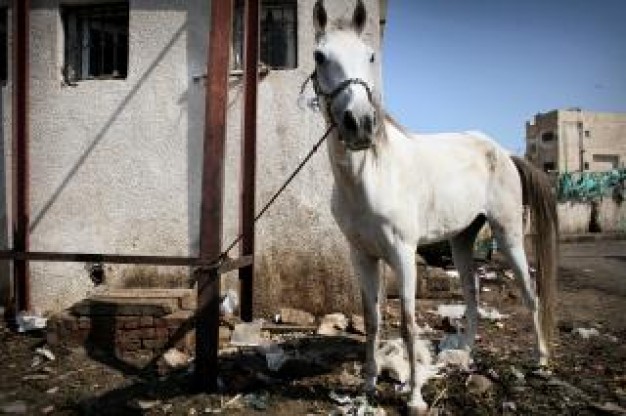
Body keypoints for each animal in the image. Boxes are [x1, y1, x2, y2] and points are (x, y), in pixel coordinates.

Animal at [310, 2, 560, 412]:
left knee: (530, 292)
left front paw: (414, 397)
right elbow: (372, 319)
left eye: (371, 55)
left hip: (508, 235)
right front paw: (368, 385)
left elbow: (408, 322)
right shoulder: (362, 255)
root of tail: (502, 153)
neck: (371, 176)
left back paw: (541, 360)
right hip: (462, 240)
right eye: (319, 56)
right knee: (472, 296)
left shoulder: (403, 253)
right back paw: (465, 356)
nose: (359, 125)